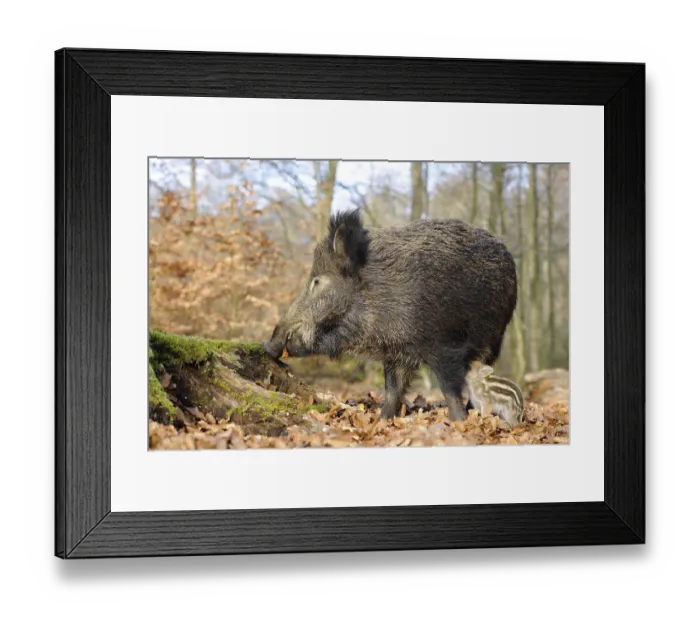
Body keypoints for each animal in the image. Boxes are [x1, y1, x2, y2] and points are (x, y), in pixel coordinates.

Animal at [263, 210, 517, 421]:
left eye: (317, 281)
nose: (267, 344)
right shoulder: (395, 352)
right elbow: (392, 389)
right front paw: (382, 420)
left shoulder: (444, 345)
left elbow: (449, 390)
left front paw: (460, 422)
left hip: (495, 336)